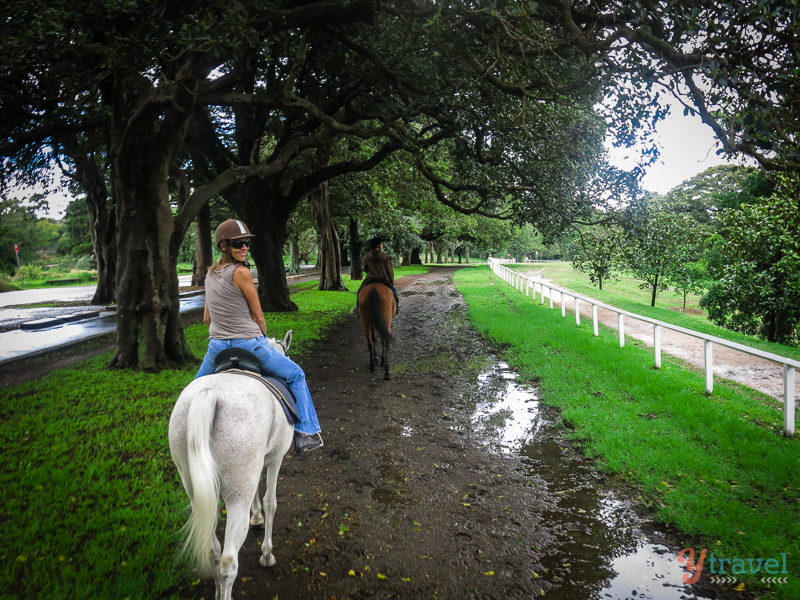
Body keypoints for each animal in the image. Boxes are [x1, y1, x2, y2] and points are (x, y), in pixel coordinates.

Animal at [170, 330, 296, 600]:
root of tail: (210, 394)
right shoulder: (276, 458)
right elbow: (271, 502)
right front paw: (267, 554)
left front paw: (256, 516)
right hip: (237, 493)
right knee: (228, 560)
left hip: (195, 488)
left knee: (213, 551)